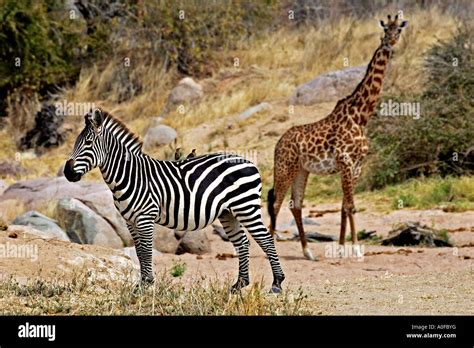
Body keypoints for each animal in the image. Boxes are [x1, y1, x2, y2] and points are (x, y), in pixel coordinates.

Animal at [63, 107, 286, 292]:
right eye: (75, 143)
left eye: (88, 143)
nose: (67, 172)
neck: (130, 175)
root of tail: (249, 161)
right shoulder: (130, 221)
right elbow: (139, 251)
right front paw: (141, 285)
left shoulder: (145, 217)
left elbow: (146, 251)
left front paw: (146, 285)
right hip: (228, 212)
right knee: (242, 243)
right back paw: (239, 285)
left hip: (246, 207)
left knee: (266, 239)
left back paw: (276, 283)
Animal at [266, 15, 408, 260]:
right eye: (385, 29)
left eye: (399, 29)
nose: (390, 41)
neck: (361, 116)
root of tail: (278, 143)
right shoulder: (345, 161)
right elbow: (350, 206)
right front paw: (356, 249)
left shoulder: (356, 166)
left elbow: (345, 206)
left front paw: (342, 248)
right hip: (285, 167)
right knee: (275, 203)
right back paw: (271, 250)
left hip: (301, 170)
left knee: (296, 205)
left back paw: (308, 252)